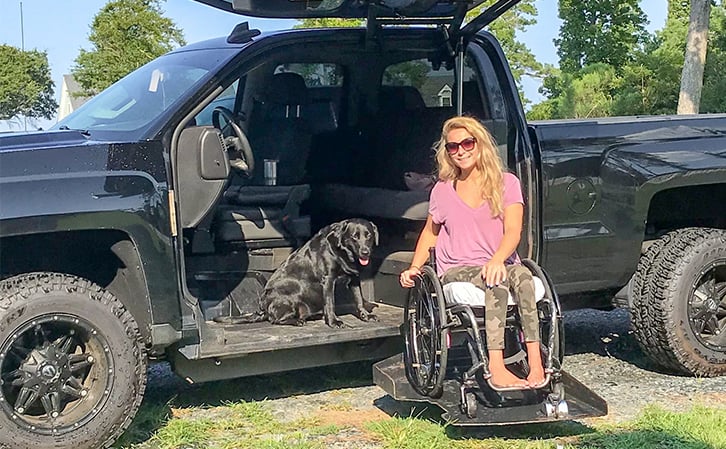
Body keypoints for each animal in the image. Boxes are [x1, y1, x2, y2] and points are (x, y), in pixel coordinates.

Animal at [235, 220, 382, 328]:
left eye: (369, 235)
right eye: (354, 236)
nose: (365, 252)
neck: (343, 253)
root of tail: (263, 310)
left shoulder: (354, 278)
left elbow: (359, 299)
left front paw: (365, 316)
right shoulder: (328, 279)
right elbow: (330, 303)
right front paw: (333, 322)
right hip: (288, 298)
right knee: (275, 320)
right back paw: (297, 321)